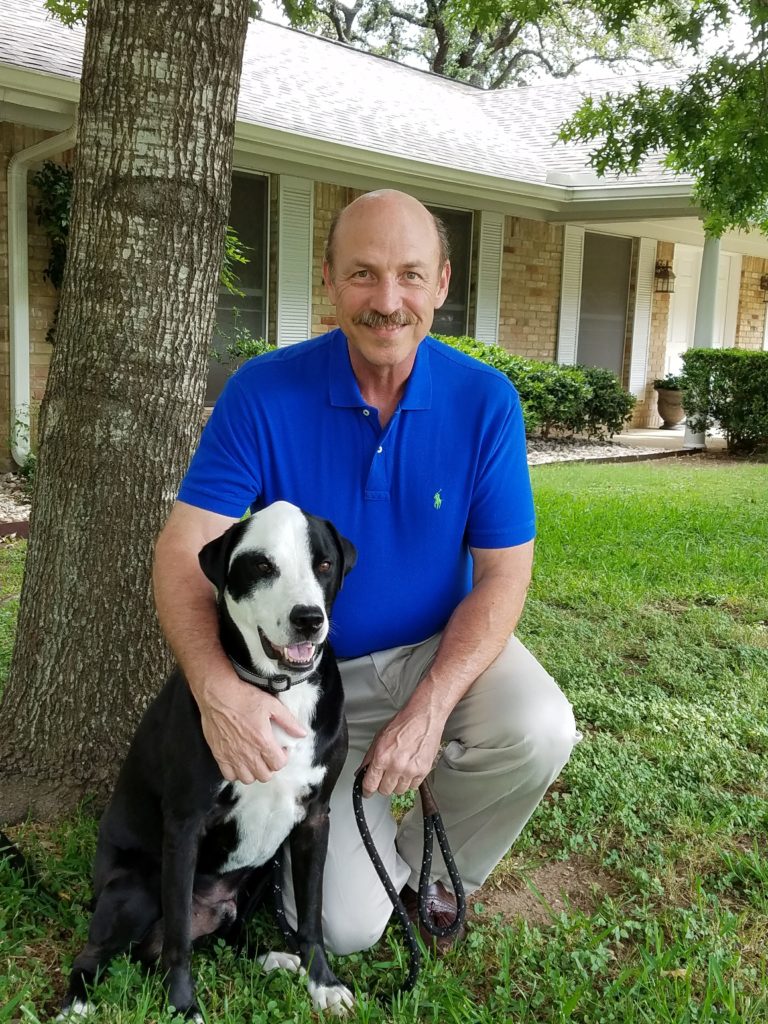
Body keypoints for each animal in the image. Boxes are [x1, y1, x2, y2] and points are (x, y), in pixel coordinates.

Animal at [60, 499, 358, 1019]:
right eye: (262, 566)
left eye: (323, 565)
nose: (308, 618)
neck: (278, 692)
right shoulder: (185, 825)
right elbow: (179, 938)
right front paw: (182, 1006)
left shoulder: (314, 818)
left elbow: (312, 916)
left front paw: (322, 982)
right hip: (139, 887)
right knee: (100, 952)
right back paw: (76, 1003)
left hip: (263, 870)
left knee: (229, 934)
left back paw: (272, 957)